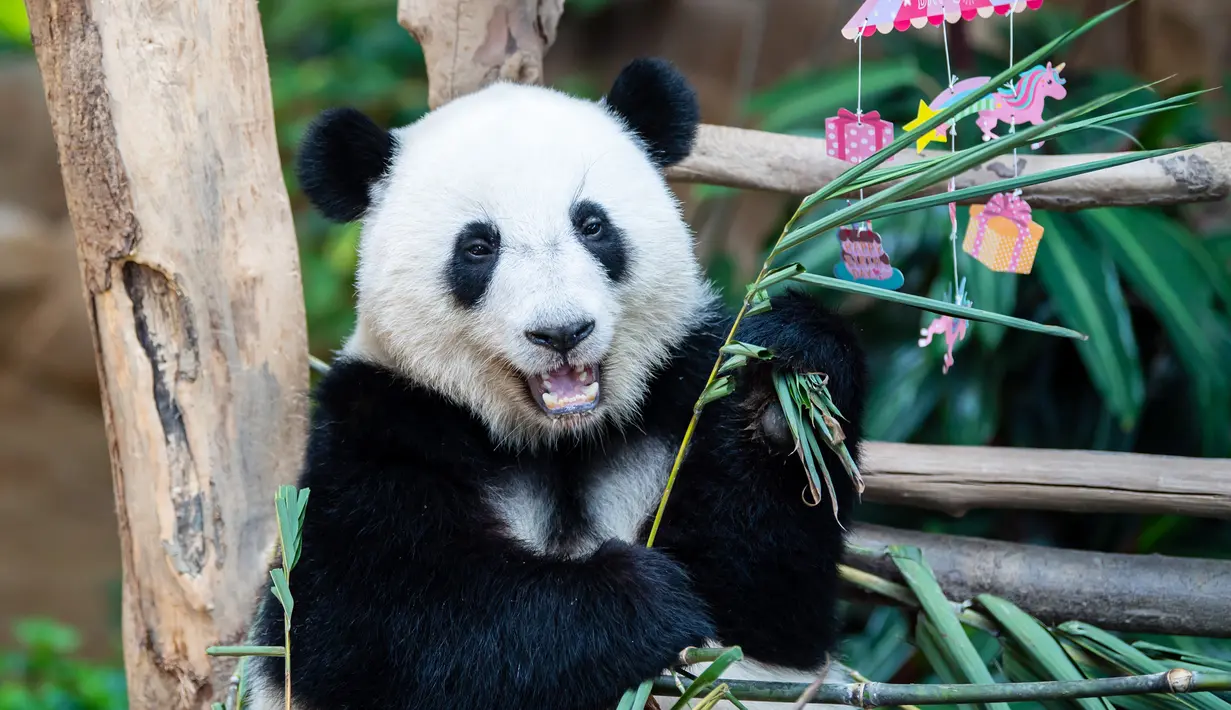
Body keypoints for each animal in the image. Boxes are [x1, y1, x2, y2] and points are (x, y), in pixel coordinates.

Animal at [244, 57, 867, 710]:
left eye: (591, 224)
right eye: (478, 246)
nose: (562, 331)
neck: (560, 440)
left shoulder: (677, 390)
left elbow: (767, 602)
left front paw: (784, 391)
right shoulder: (383, 422)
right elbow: (375, 624)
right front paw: (636, 597)